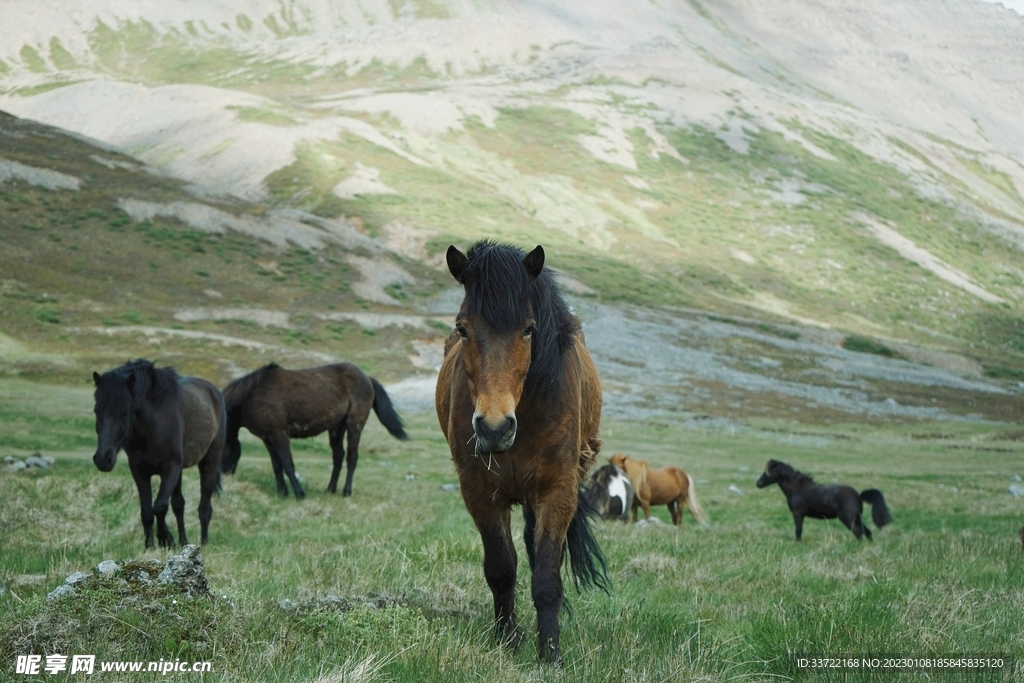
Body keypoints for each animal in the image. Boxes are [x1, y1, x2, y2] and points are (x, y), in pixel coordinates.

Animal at [92, 359, 225, 548]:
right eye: (97, 411)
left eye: (125, 412)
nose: (103, 459)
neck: (153, 425)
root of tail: (214, 392)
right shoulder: (139, 472)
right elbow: (147, 512)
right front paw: (150, 545)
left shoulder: (170, 469)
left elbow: (160, 507)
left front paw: (164, 539)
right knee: (179, 505)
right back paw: (184, 541)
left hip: (209, 462)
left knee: (204, 507)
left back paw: (204, 543)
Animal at [220, 362, 407, 499]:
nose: (224, 479)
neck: (253, 395)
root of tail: (367, 378)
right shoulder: (268, 438)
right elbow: (277, 465)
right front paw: (282, 493)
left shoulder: (279, 435)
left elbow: (288, 464)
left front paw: (299, 494)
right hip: (336, 428)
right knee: (338, 457)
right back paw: (330, 489)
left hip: (355, 425)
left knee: (351, 457)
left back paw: (346, 491)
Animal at [435, 241, 608, 663]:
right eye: (463, 328)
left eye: (529, 329)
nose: (495, 428)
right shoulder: (480, 493)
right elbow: (501, 569)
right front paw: (508, 639)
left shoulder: (557, 492)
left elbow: (546, 575)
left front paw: (550, 653)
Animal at [756, 459, 892, 541]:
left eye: (766, 473)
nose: (758, 484)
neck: (797, 488)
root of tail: (858, 495)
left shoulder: (797, 514)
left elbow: (798, 531)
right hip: (856, 518)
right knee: (867, 532)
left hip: (848, 519)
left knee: (859, 533)